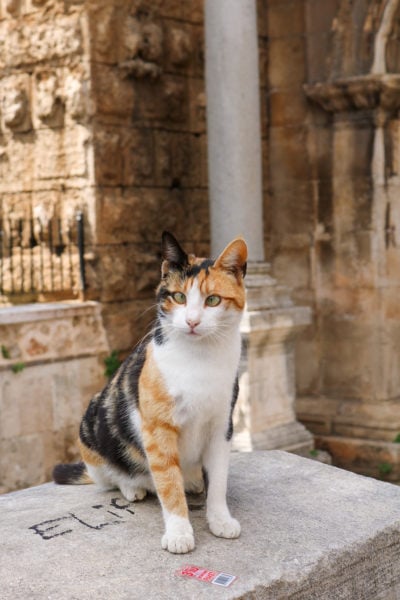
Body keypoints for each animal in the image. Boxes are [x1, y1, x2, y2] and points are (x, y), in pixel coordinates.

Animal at [53, 230, 247, 552]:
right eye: (179, 297)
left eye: (213, 300)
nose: (192, 321)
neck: (201, 358)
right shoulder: (158, 427)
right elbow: (167, 482)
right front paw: (179, 532)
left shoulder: (222, 425)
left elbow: (218, 480)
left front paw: (220, 519)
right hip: (92, 427)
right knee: (114, 478)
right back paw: (134, 487)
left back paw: (193, 481)